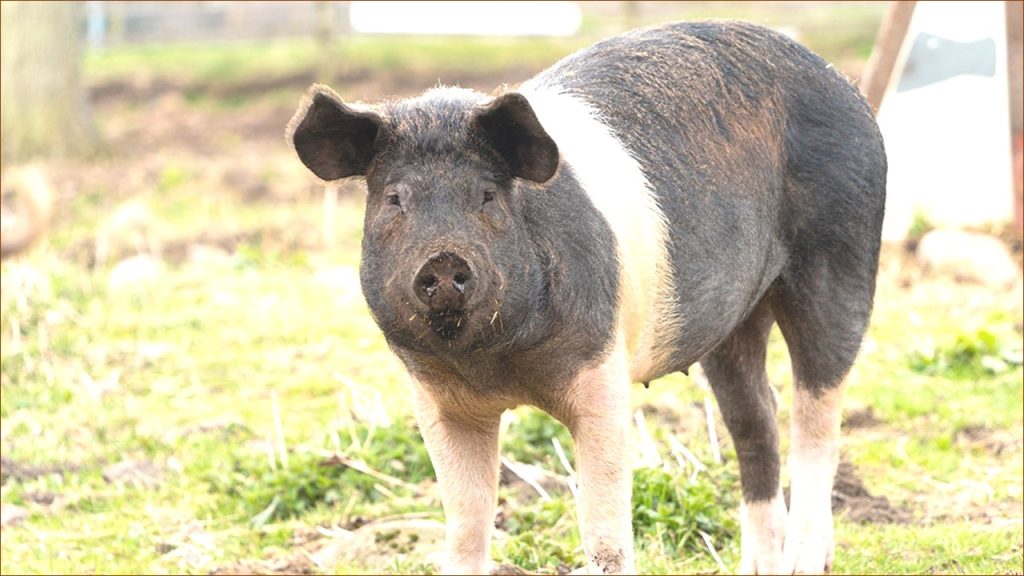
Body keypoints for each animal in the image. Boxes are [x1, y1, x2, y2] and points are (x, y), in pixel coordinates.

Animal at [287, 20, 885, 575]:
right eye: (394, 199)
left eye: (487, 195)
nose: (444, 259)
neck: (499, 366)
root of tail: (843, 83)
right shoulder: (438, 399)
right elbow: (467, 524)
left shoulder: (602, 368)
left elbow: (604, 532)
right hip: (732, 322)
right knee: (756, 419)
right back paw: (756, 566)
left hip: (842, 256)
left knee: (817, 414)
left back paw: (806, 560)